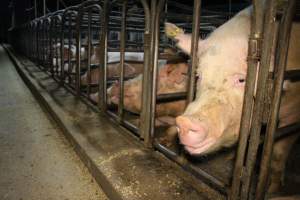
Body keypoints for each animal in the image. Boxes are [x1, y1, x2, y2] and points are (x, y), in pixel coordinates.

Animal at [164, 6, 300, 193]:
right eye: (198, 75)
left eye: (242, 80)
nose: (185, 122)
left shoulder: (294, 113)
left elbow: (278, 154)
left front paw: (272, 191)